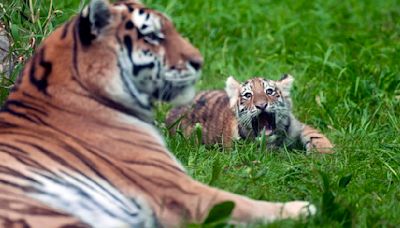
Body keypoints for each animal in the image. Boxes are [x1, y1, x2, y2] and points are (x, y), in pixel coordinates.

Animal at [0, 0, 316, 226]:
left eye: (271, 93)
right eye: (152, 36)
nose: (199, 61)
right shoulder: (176, 187)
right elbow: (244, 203)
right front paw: (303, 208)